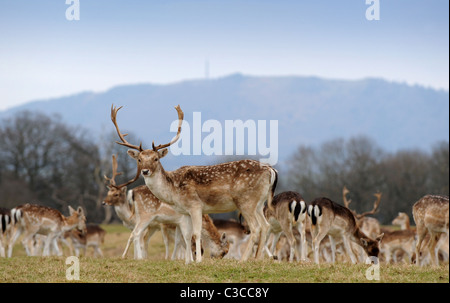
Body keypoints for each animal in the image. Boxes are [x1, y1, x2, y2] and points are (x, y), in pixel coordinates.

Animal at [110, 104, 276, 264]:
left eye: (156, 159)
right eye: (139, 159)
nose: (145, 171)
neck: (172, 192)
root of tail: (271, 170)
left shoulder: (195, 205)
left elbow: (196, 234)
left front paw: (198, 260)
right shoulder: (184, 212)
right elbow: (187, 236)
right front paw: (187, 261)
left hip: (246, 201)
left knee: (255, 227)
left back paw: (243, 260)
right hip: (259, 203)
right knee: (265, 225)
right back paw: (257, 259)